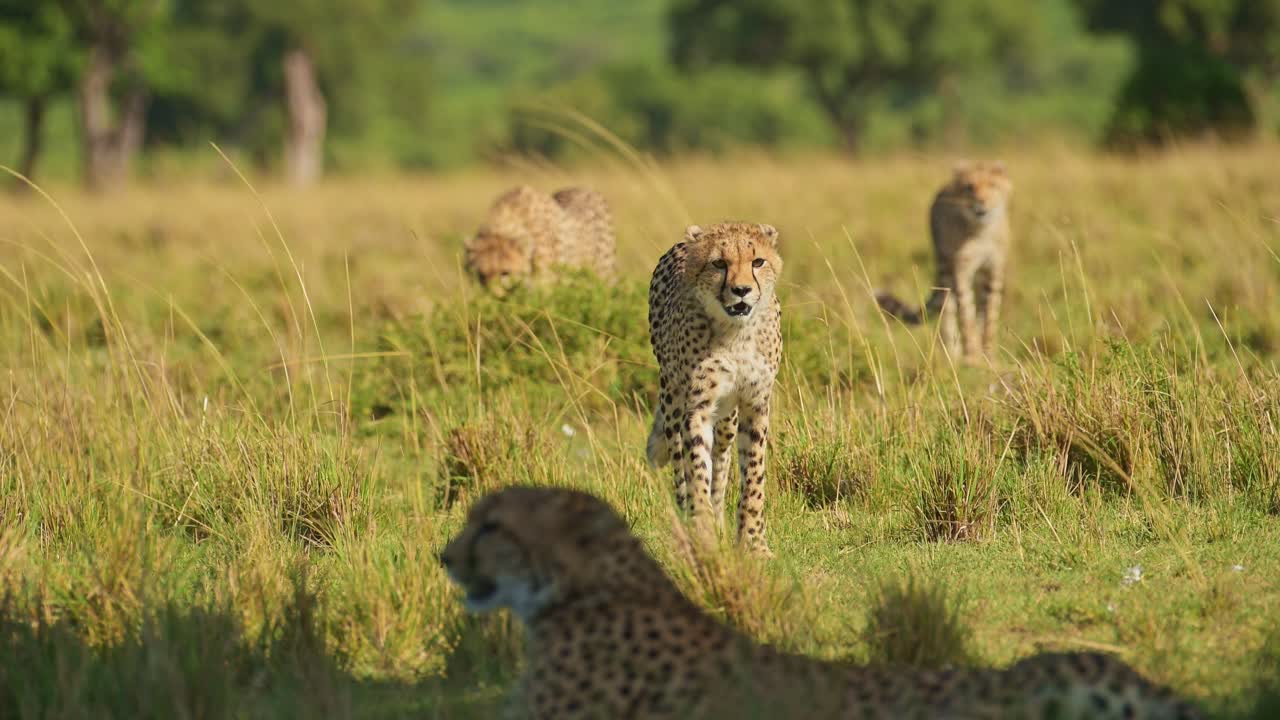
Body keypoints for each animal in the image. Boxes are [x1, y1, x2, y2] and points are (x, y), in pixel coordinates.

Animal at [645, 222, 783, 554]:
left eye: (757, 262)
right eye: (719, 263)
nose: (741, 290)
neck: (736, 334)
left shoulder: (755, 404)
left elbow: (753, 477)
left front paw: (753, 543)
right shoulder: (697, 407)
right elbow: (696, 470)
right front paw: (703, 533)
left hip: (728, 420)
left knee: (721, 460)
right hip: (673, 402)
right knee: (681, 466)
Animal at [876, 162, 1013, 363]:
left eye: (992, 185)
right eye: (969, 187)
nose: (980, 201)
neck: (981, 231)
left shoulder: (993, 273)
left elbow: (989, 318)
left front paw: (989, 356)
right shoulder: (961, 273)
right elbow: (967, 316)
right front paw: (972, 357)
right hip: (945, 268)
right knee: (947, 309)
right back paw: (953, 355)